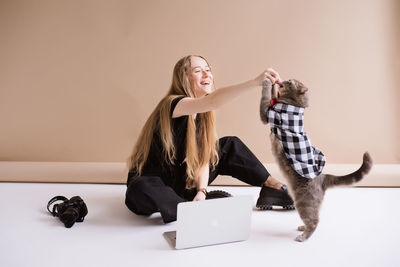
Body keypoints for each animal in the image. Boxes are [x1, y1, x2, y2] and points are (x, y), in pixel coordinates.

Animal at [260, 79, 372, 243]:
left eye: (290, 82)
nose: (283, 80)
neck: (294, 104)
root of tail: (323, 177)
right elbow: (272, 96)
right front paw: (273, 82)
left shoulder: (268, 113)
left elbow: (265, 98)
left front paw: (267, 81)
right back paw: (302, 228)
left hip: (303, 202)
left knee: (314, 221)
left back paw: (303, 236)